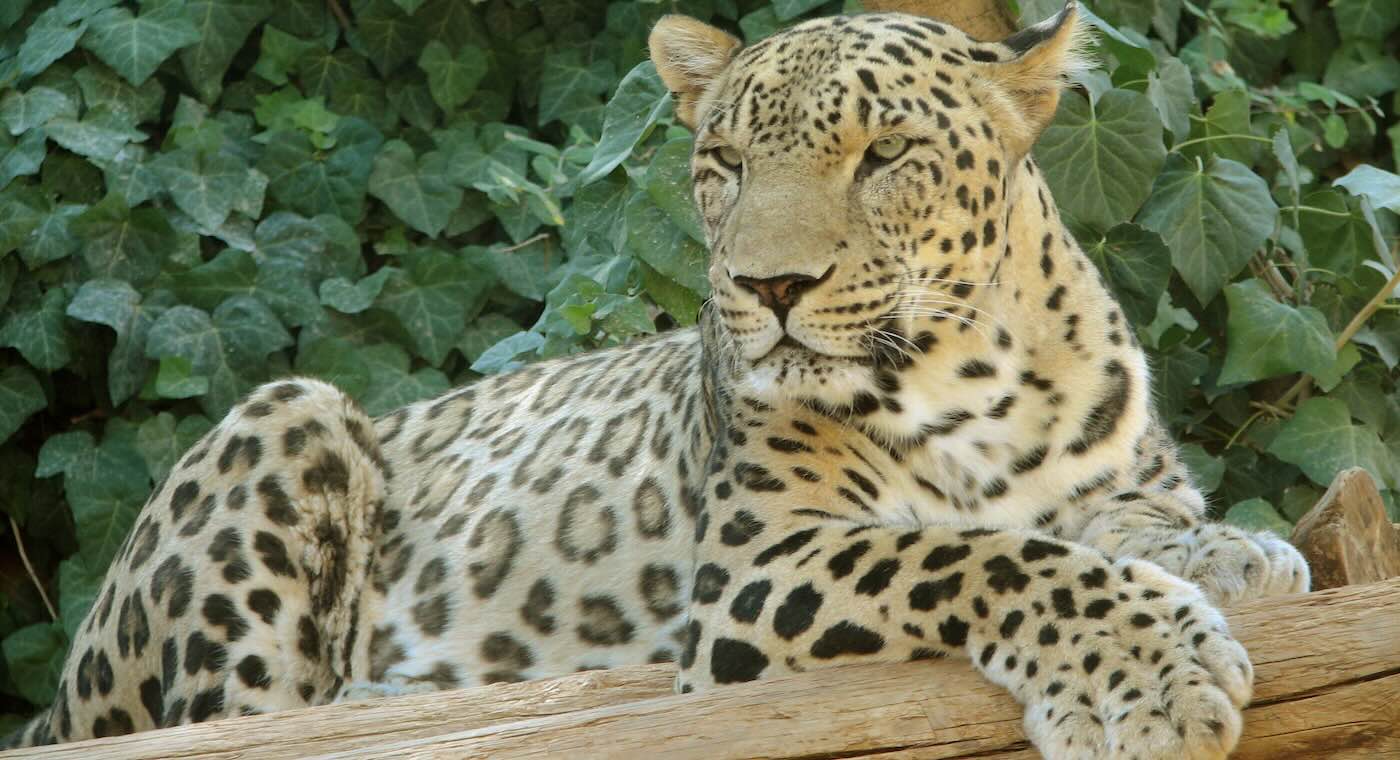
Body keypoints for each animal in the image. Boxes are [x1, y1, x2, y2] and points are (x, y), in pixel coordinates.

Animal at [6, 4, 1309, 758]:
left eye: (885, 152)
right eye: (722, 160)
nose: (768, 286)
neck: (970, 375)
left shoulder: (1111, 476)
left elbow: (1127, 518)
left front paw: (1240, 553)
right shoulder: (754, 566)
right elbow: (979, 555)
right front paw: (1152, 674)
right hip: (288, 414)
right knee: (239, 718)